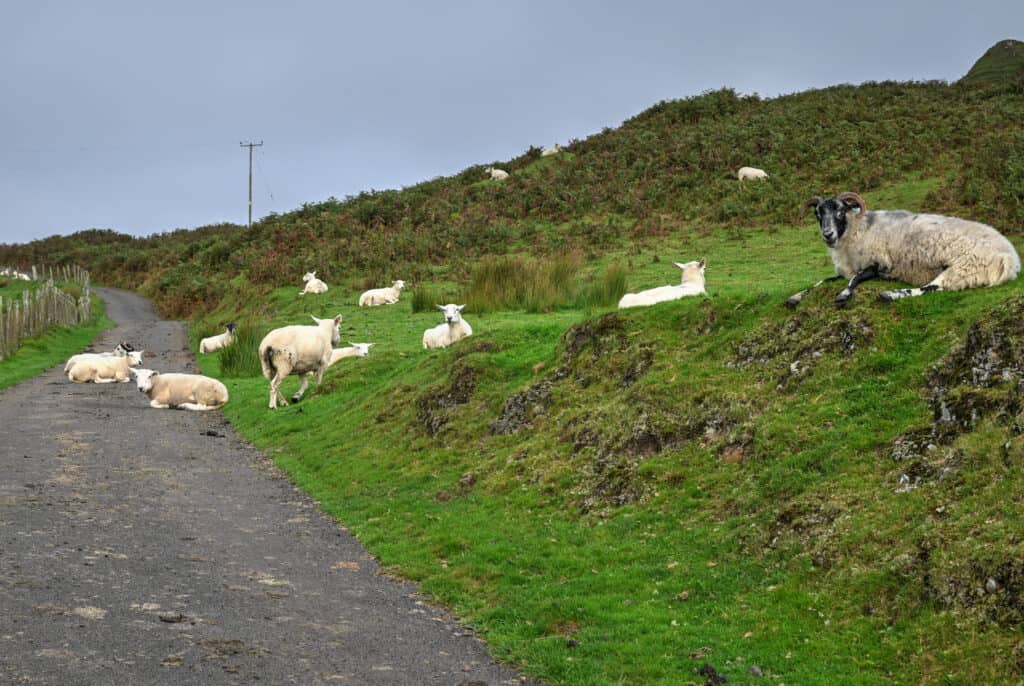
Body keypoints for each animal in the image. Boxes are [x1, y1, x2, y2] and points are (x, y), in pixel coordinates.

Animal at [786, 190, 1019, 309]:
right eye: (818, 213)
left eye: (841, 211)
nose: (828, 234)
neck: (857, 229)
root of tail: (1011, 259)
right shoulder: (844, 270)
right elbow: (820, 281)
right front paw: (794, 298)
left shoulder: (879, 263)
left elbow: (855, 279)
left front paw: (843, 295)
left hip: (963, 267)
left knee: (932, 288)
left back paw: (889, 295)